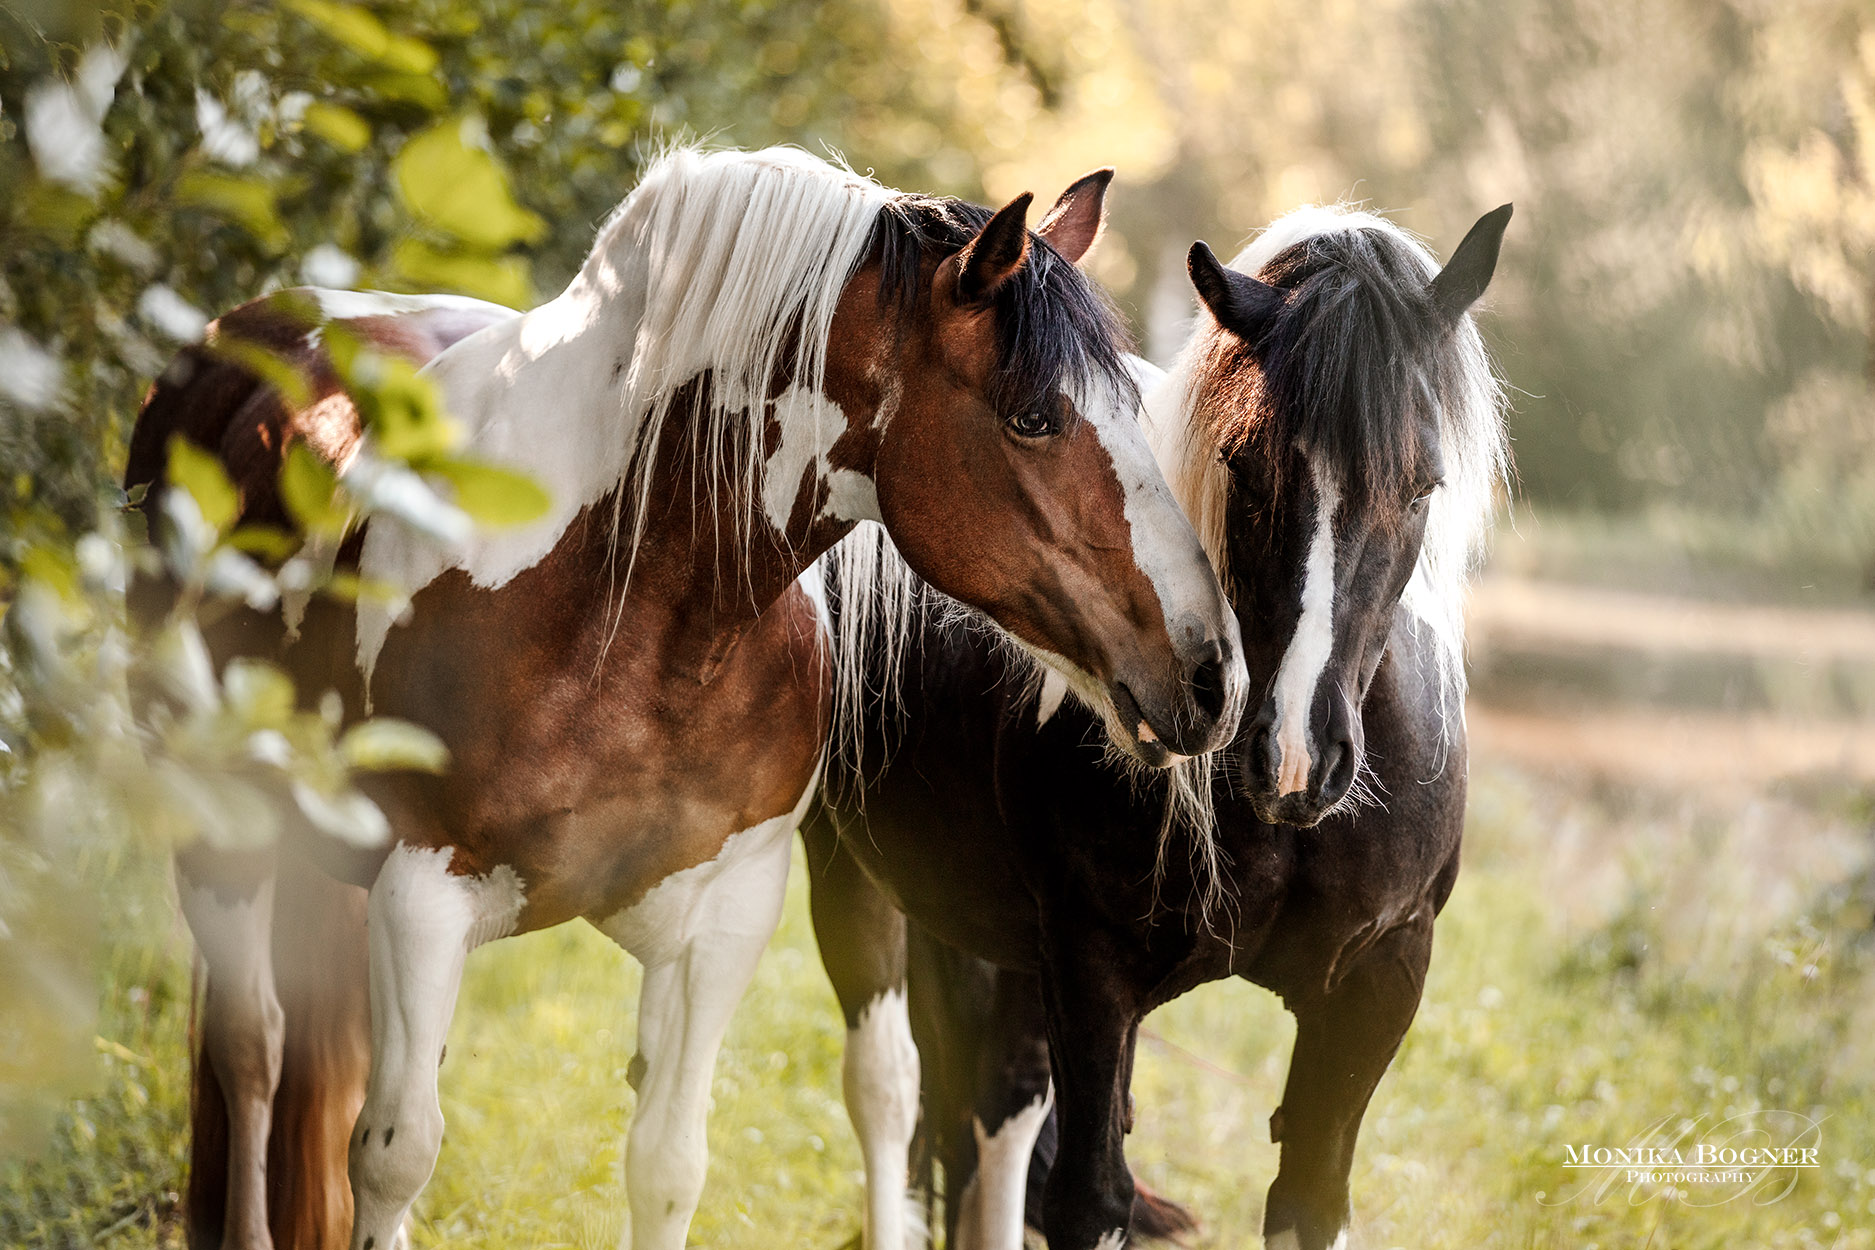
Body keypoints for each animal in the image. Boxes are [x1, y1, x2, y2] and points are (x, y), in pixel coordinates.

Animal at [128, 148, 1245, 1250]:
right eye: (1032, 417)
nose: (1211, 672)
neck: (627, 603)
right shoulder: (422, 892)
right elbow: (393, 1154)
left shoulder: (724, 917)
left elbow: (666, 1167)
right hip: (219, 825)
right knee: (251, 1047)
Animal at [806, 205, 1507, 1250]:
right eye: (1242, 468)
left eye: (1422, 485)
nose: (1293, 758)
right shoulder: (1093, 972)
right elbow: (1088, 1196)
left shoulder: (1377, 986)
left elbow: (1309, 1195)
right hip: (855, 873)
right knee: (889, 1096)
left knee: (996, 1112)